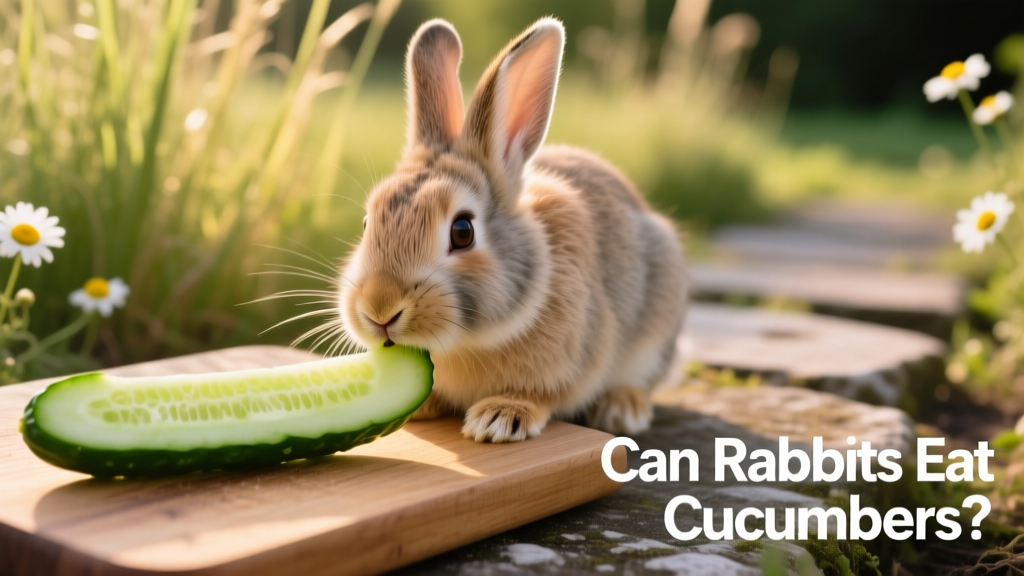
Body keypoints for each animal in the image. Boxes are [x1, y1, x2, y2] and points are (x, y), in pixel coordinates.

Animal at [338, 17, 687, 443]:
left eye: (462, 231)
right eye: (367, 223)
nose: (379, 310)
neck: (466, 343)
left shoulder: (573, 357)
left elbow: (543, 394)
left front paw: (499, 418)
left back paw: (622, 409)